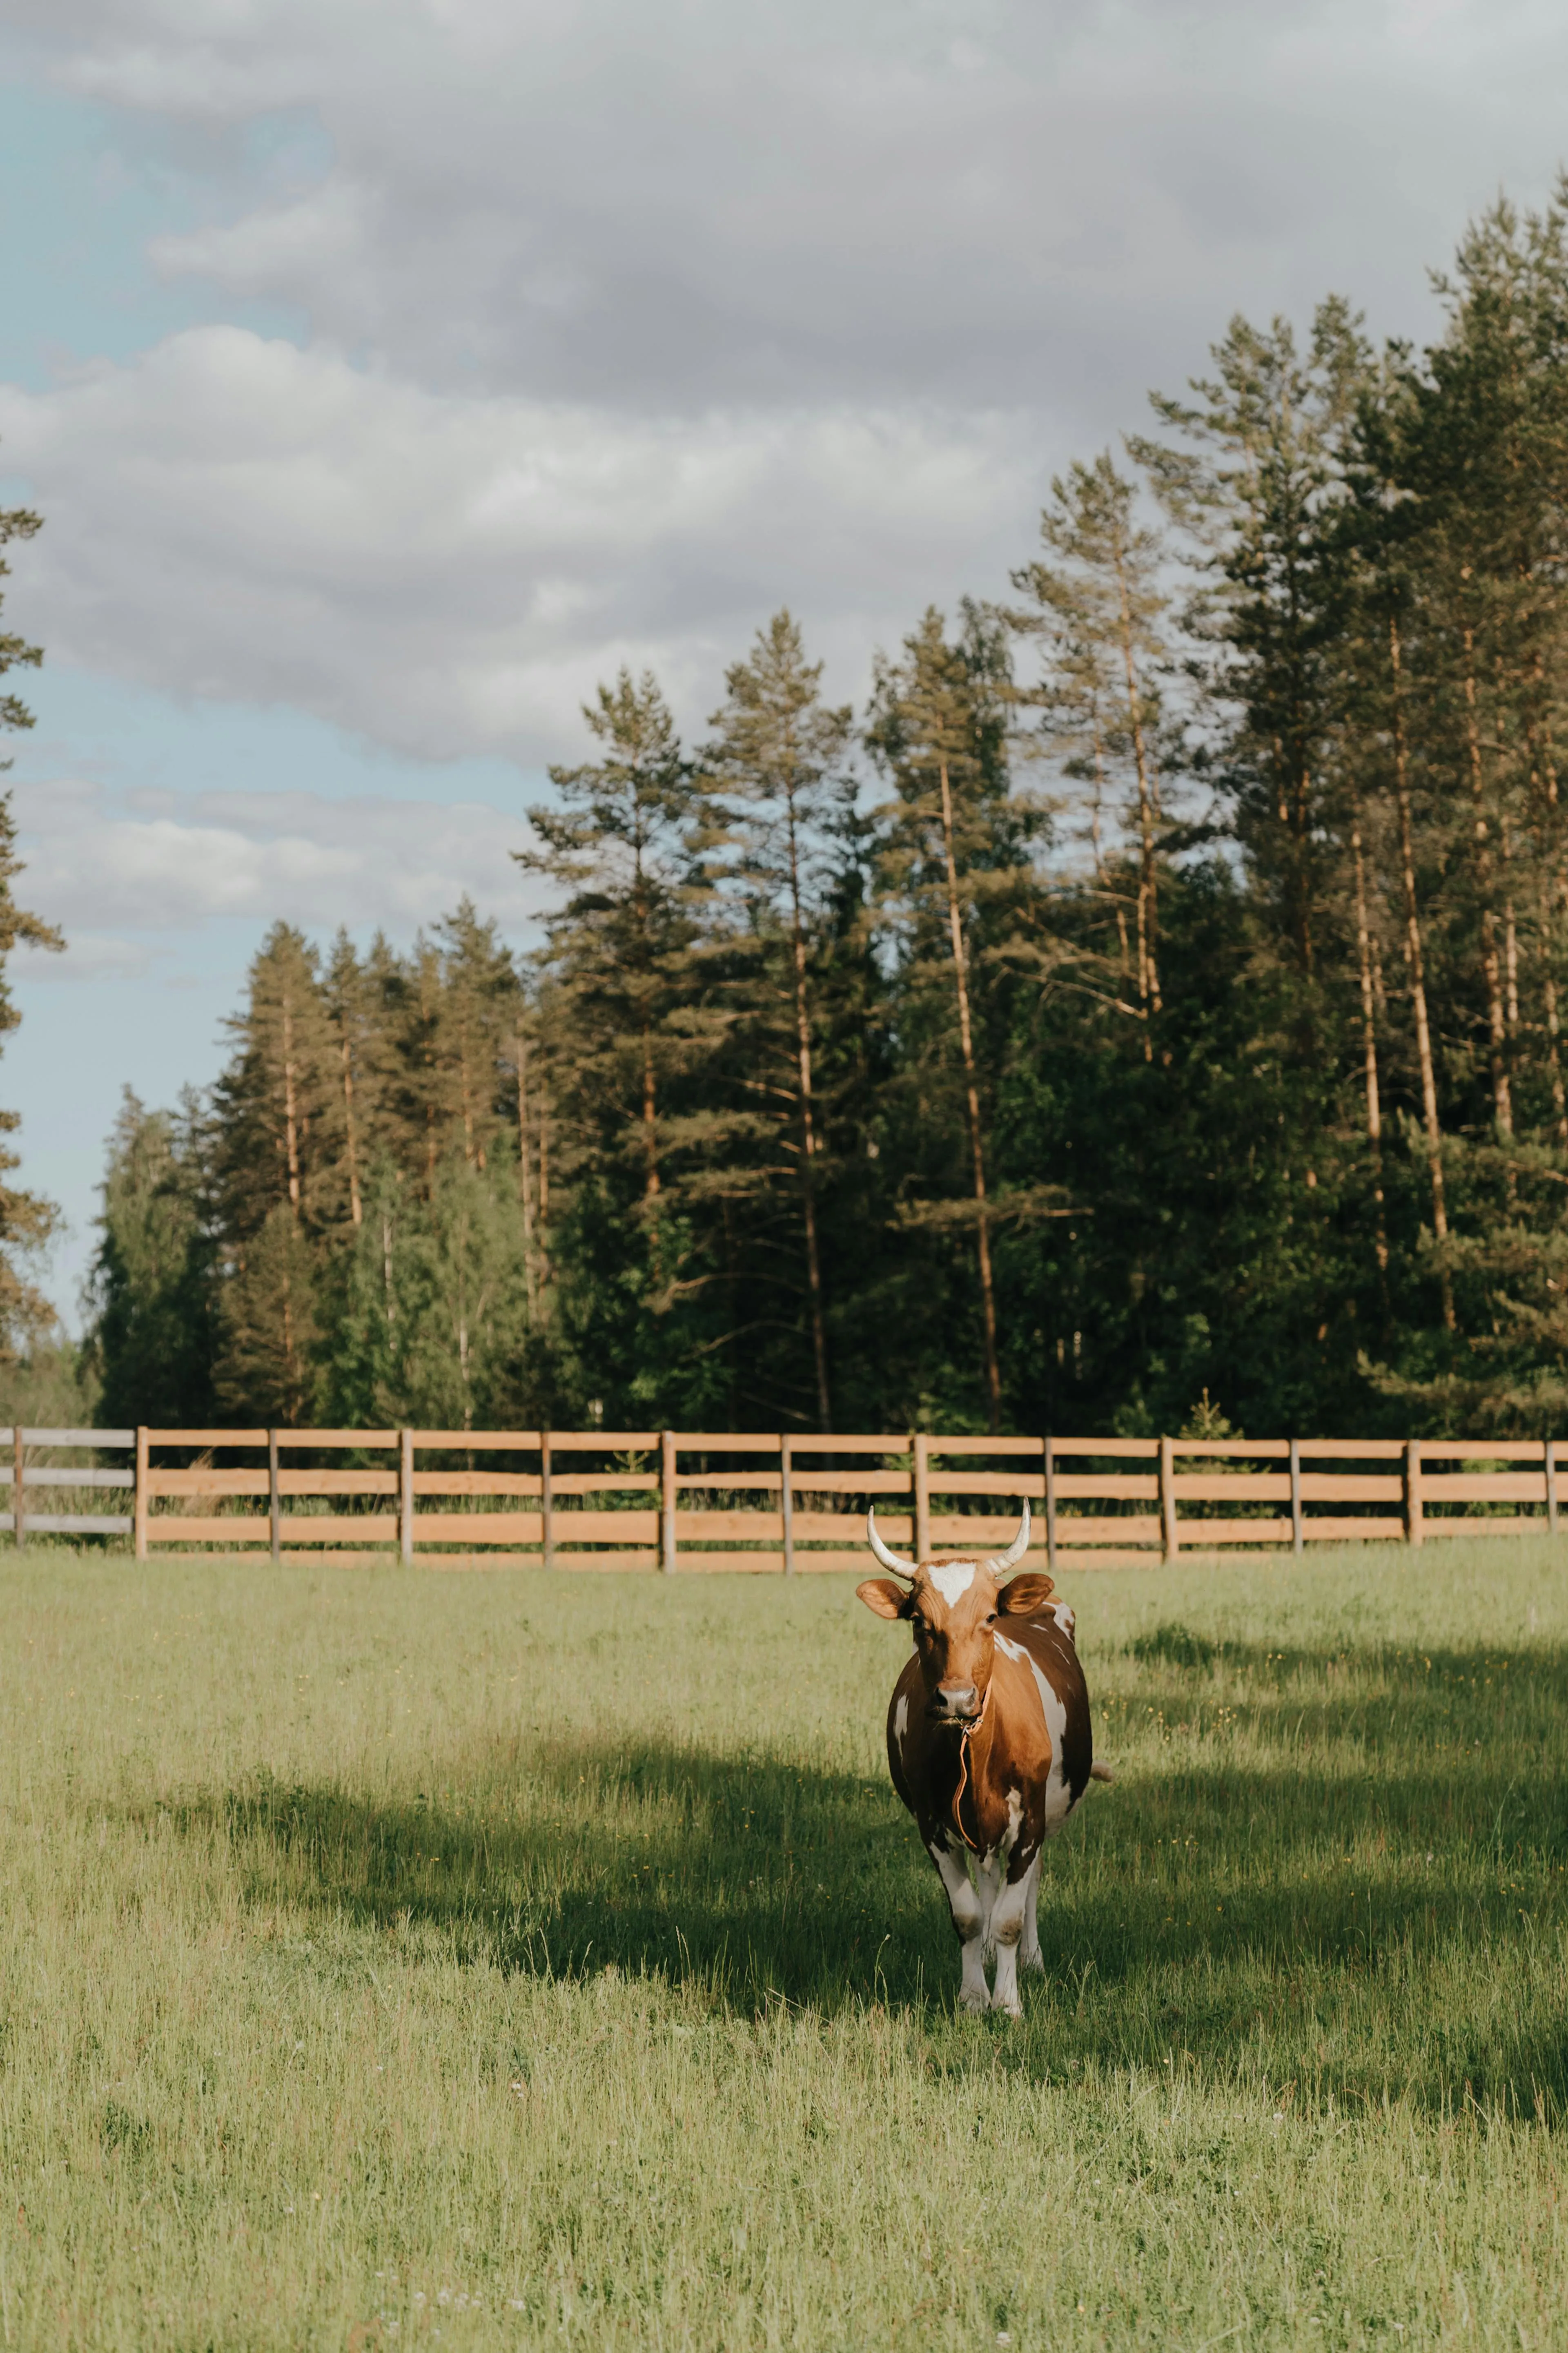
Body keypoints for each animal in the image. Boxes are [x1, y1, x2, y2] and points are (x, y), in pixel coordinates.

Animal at [856, 1499, 1111, 2016]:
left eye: (990, 1616)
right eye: (919, 1621)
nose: (956, 1698)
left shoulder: (1030, 1820)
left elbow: (1012, 1914)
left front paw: (1009, 2002)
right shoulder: (933, 1826)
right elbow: (969, 1916)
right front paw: (974, 1997)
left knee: (1028, 1886)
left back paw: (1030, 1958)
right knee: (987, 1880)